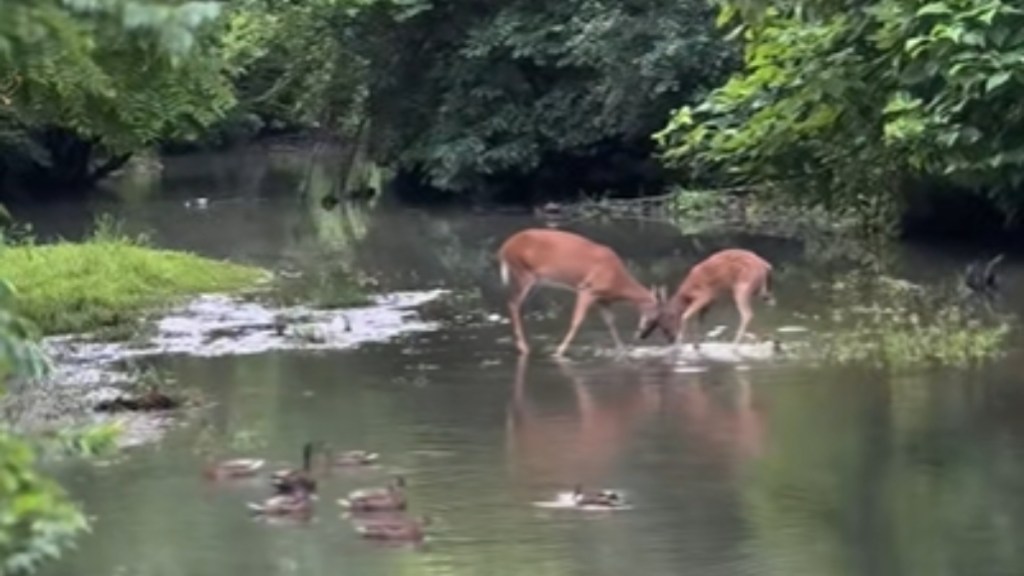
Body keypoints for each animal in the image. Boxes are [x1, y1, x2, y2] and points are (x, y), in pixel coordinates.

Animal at [495, 227, 671, 354]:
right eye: (657, 317)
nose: (642, 336)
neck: (617, 280)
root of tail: (504, 249)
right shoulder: (587, 288)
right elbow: (577, 320)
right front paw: (559, 352)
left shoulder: (602, 299)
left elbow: (610, 322)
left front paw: (622, 350)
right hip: (523, 273)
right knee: (513, 304)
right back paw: (524, 348)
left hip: (534, 282)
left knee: (518, 306)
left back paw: (524, 345)